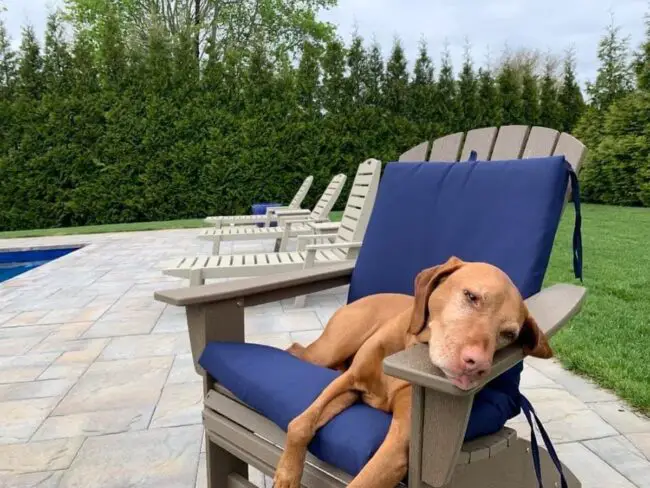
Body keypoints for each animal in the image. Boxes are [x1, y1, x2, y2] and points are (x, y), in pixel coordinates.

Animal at [274, 258, 552, 486]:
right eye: (471, 296)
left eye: (509, 334)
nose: (479, 366)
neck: (405, 350)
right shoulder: (348, 382)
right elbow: (299, 424)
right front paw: (287, 474)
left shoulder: (399, 443)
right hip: (330, 349)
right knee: (297, 349)